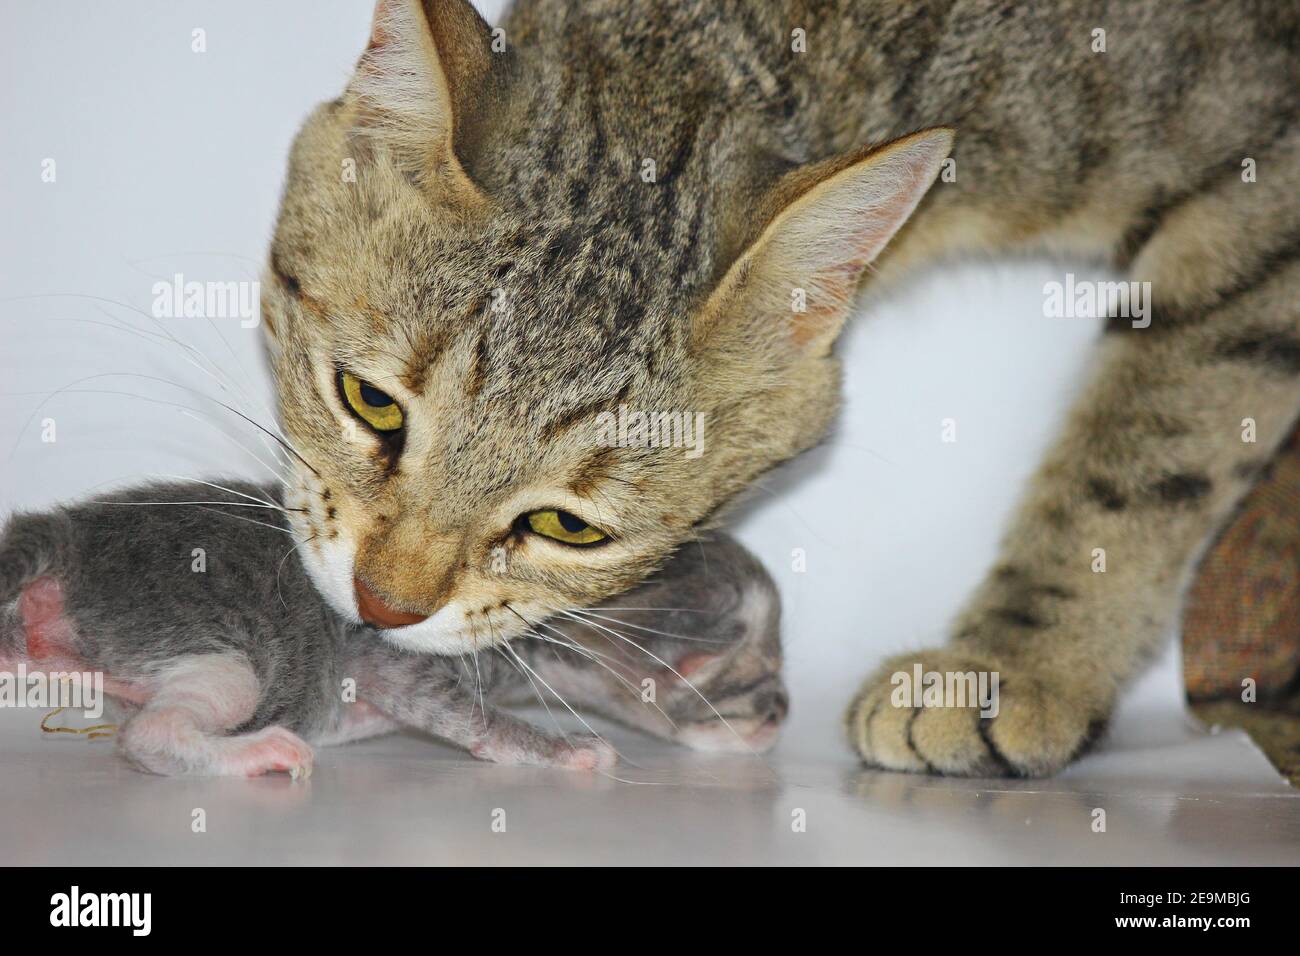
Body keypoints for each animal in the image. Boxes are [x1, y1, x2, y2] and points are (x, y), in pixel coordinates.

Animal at [0, 481, 780, 780]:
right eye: (751, 665)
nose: (782, 716)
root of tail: (64, 531)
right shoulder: (385, 648)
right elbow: (459, 708)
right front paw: (559, 749)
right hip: (211, 637)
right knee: (152, 732)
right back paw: (253, 752)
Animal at [266, 0, 1300, 780]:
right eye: (370, 402)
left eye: (566, 527)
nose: (382, 608)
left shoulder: (1264, 197)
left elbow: (1146, 455)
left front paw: (1010, 668)